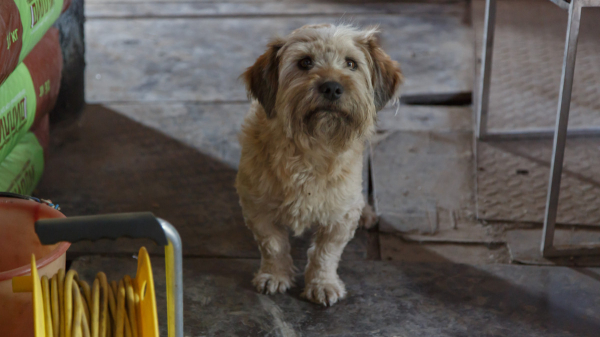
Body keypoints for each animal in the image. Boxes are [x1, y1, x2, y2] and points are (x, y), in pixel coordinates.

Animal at [236, 23, 404, 304]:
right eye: (305, 62)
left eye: (351, 63)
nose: (332, 87)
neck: (312, 147)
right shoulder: (257, 207)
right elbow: (273, 245)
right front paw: (275, 275)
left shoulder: (341, 216)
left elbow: (325, 253)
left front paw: (322, 283)